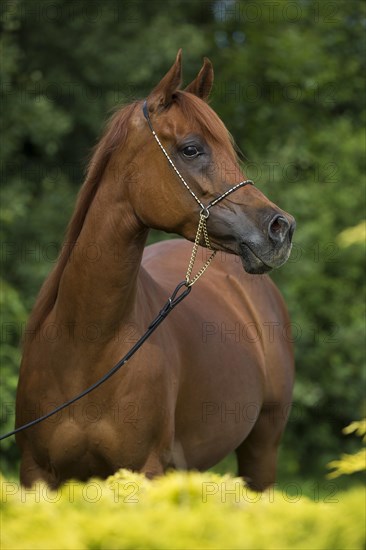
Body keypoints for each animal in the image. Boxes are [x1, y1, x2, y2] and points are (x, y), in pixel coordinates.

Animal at [15, 51, 296, 492]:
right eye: (192, 149)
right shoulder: (36, 474)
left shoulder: (144, 472)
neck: (86, 345)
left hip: (262, 450)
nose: (280, 229)